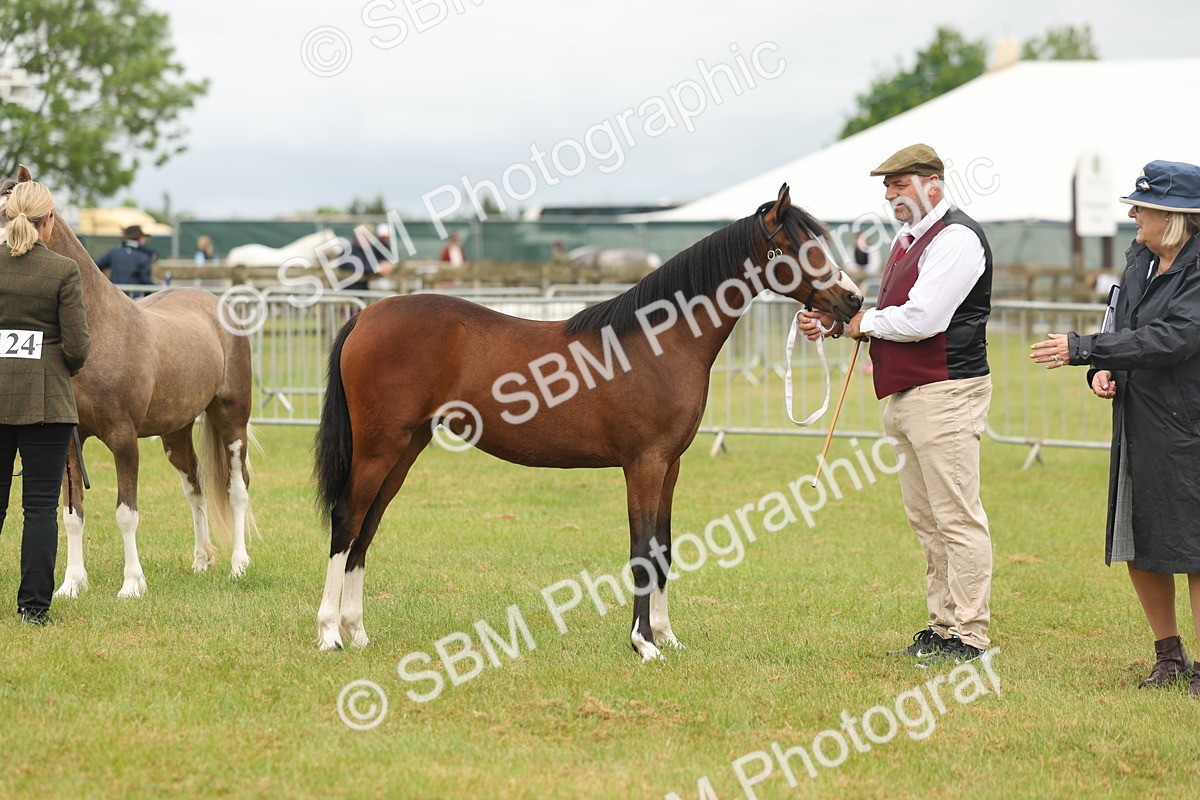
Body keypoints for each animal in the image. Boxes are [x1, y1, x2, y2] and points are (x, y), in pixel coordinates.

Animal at [0, 166, 256, 598]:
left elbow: (126, 513)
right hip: (175, 432)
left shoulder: (123, 439)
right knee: (195, 486)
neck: (101, 331)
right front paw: (71, 584)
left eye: (7, 214)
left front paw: (132, 585)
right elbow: (72, 515)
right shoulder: (70, 443)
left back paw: (239, 565)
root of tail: (215, 304)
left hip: (232, 420)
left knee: (236, 489)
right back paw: (201, 560)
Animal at [313, 184, 864, 660]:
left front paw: (667, 637)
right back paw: (329, 635)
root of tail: (366, 316)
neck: (660, 340)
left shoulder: (670, 466)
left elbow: (663, 547)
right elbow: (641, 547)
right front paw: (643, 644)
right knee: (347, 519)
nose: (853, 300)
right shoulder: (643, 464)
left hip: (406, 448)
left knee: (368, 526)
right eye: (797, 247)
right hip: (380, 447)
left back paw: (357, 632)